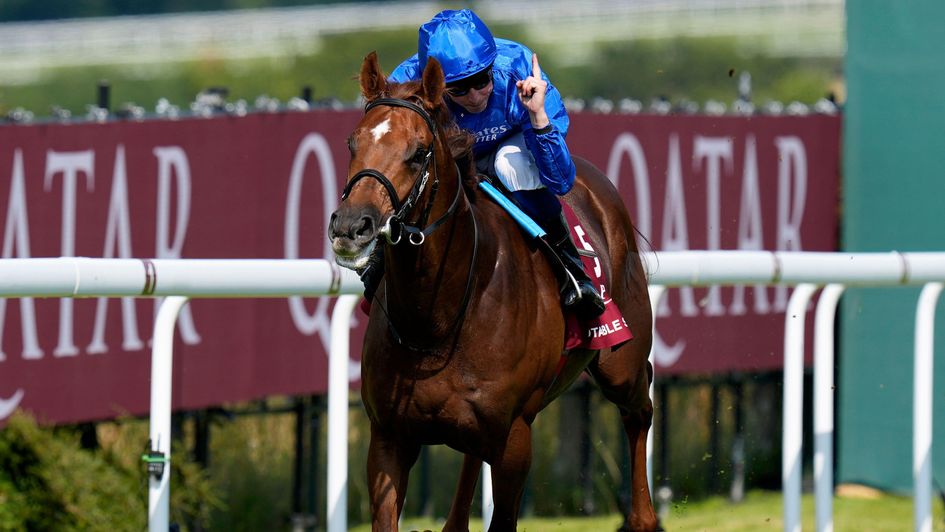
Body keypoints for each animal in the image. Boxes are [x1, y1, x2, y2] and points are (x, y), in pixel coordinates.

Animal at [328, 51, 660, 532]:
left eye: (419, 152)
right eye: (353, 143)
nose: (352, 226)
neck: (439, 319)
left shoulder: (514, 438)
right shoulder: (389, 437)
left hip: (622, 363)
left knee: (640, 410)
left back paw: (643, 518)